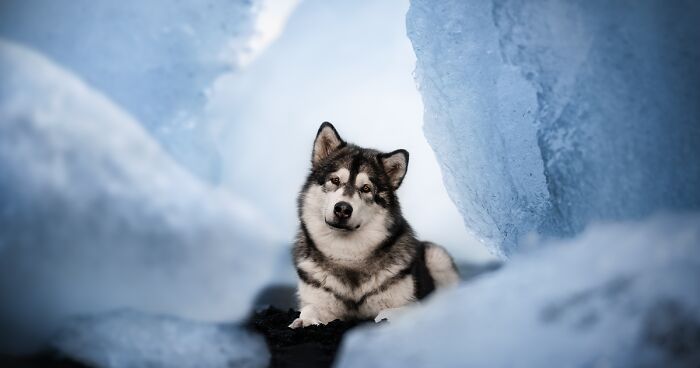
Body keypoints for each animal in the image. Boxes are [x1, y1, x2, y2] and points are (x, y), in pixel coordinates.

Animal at [290, 123, 460, 328]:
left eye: (366, 189)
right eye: (335, 180)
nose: (342, 209)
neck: (347, 256)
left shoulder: (407, 304)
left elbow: (388, 313)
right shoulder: (319, 301)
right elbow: (310, 308)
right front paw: (304, 320)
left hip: (438, 256)